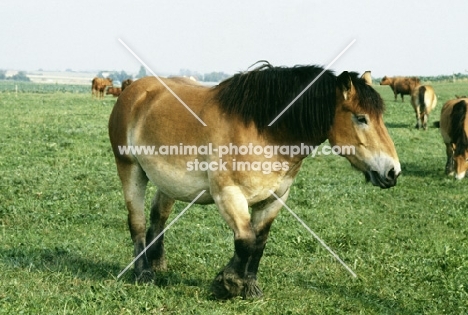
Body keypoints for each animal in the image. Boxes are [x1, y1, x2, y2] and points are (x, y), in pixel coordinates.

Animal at [108, 63, 400, 300]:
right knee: (137, 221)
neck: (266, 133)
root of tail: (135, 90)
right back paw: (143, 272)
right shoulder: (228, 194)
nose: (392, 172)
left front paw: (249, 286)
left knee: (158, 216)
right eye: (361, 118)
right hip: (130, 169)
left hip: (168, 182)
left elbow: (258, 243)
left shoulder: (275, 199)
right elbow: (245, 240)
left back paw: (157, 263)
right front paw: (227, 283)